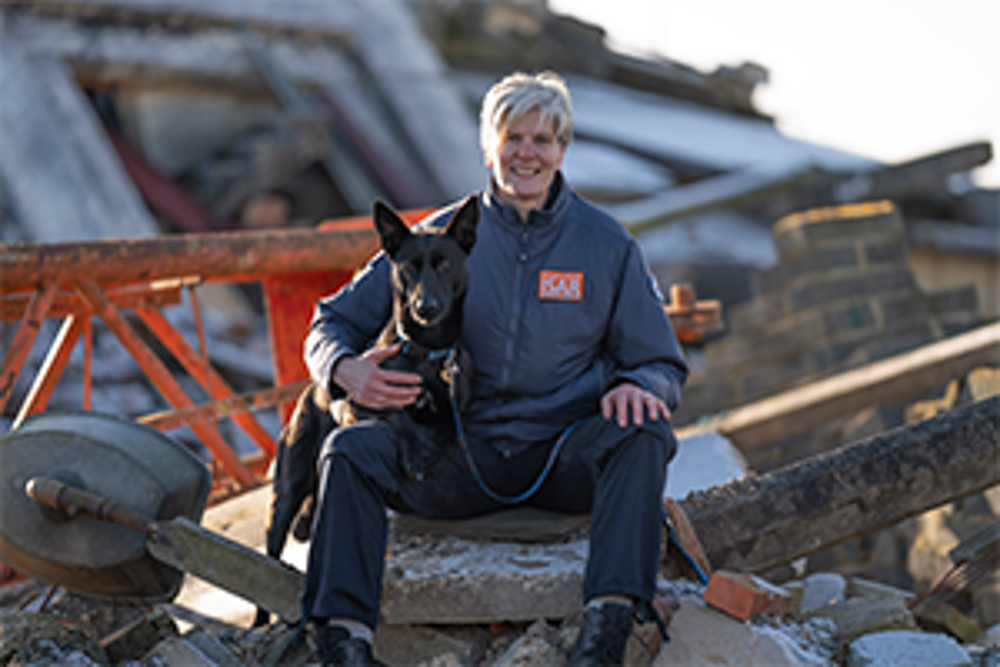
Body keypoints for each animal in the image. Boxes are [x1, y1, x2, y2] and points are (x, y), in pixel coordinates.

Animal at [256, 197, 478, 628]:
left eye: (445, 265)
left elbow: (444, 424)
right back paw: (259, 622)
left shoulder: (456, 403)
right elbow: (396, 416)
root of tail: (308, 392)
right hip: (286, 490)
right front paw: (414, 449)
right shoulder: (356, 398)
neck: (426, 353)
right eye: (410, 267)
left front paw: (430, 445)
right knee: (268, 557)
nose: (426, 307)